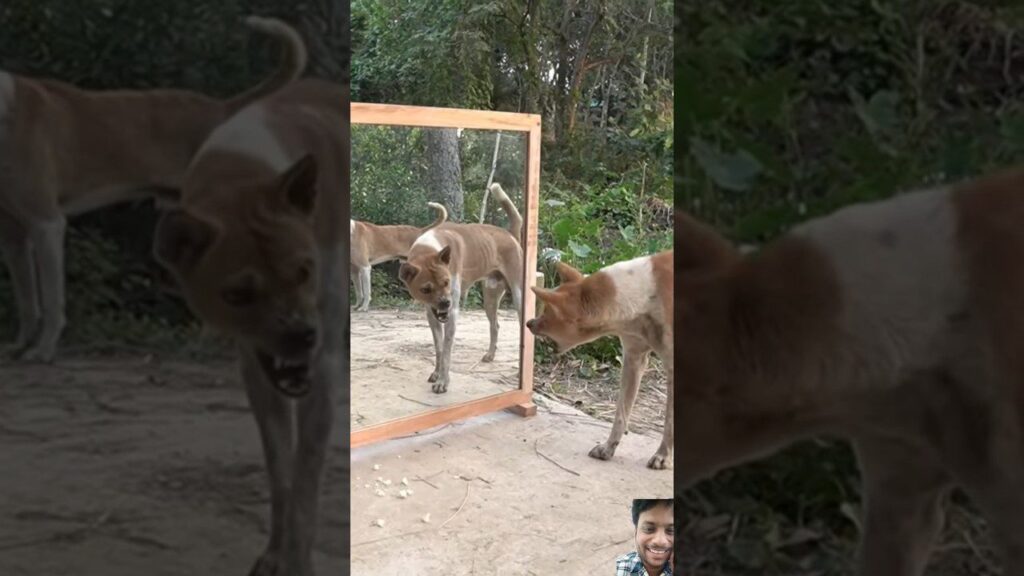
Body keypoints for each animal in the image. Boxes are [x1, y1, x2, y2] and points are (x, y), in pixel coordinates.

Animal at [0, 17, 303, 360]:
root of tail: (222, 109)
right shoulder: (14, 236)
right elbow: (27, 301)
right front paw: (20, 345)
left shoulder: (47, 224)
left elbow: (51, 301)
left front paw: (43, 351)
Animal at [149, 44, 346, 573]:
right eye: (238, 295)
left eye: (304, 271)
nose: (301, 336)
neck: (241, 178)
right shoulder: (255, 369)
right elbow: (281, 472)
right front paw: (277, 553)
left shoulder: (326, 363)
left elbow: (305, 481)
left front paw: (299, 561)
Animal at [397, 186, 524, 391]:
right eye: (425, 289)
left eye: (446, 282)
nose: (445, 303)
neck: (430, 248)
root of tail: (510, 234)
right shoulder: (431, 314)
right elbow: (439, 348)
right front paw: (436, 373)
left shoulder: (452, 315)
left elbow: (447, 351)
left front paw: (443, 381)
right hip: (490, 298)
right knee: (495, 325)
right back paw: (490, 355)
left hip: (519, 297)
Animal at [524, 250, 675, 467]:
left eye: (547, 312)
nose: (528, 322)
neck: (645, 294)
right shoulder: (633, 359)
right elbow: (620, 413)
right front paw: (608, 448)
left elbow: (669, 420)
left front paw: (663, 455)